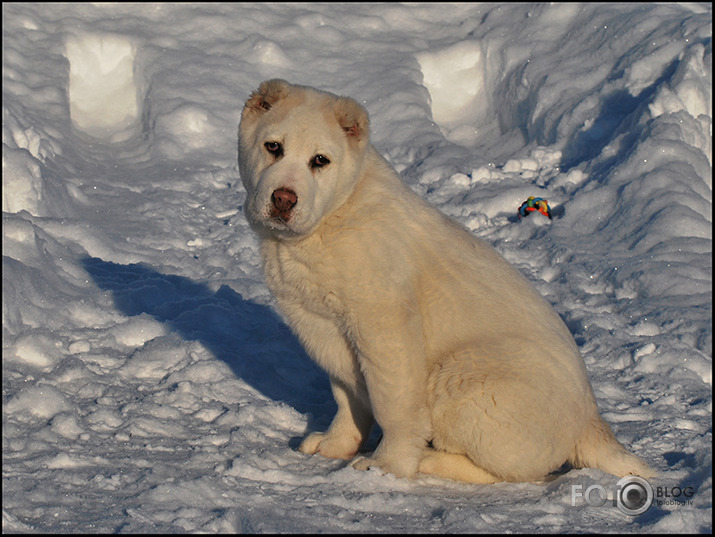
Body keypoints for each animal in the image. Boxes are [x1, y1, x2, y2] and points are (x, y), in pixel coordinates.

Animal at [239, 78, 656, 482]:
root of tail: (590, 422)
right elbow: (348, 397)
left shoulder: (385, 325)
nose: (283, 199)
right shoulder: (324, 327)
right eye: (273, 147)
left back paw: (428, 461)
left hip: (462, 377)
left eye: (320, 161)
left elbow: (394, 405)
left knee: (511, 472)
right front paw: (335, 445)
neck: (333, 216)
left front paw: (386, 466)